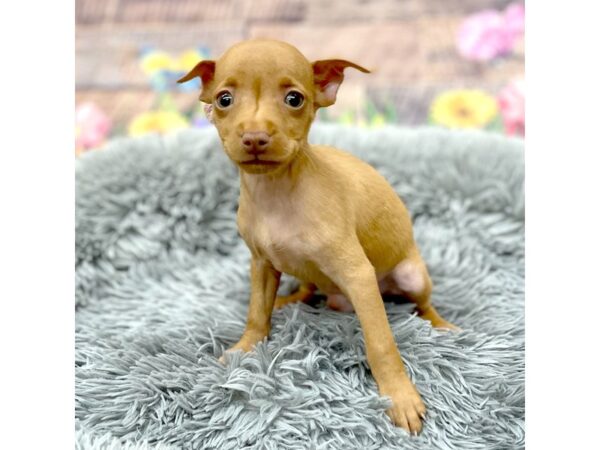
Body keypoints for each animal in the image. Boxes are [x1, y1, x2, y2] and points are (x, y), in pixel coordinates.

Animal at [178, 39, 454, 436]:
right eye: (224, 99)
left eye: (294, 99)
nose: (255, 138)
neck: (276, 192)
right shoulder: (261, 263)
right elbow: (255, 313)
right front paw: (245, 347)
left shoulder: (358, 275)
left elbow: (381, 343)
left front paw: (399, 397)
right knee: (308, 288)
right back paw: (288, 300)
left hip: (410, 275)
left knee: (423, 304)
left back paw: (441, 325)